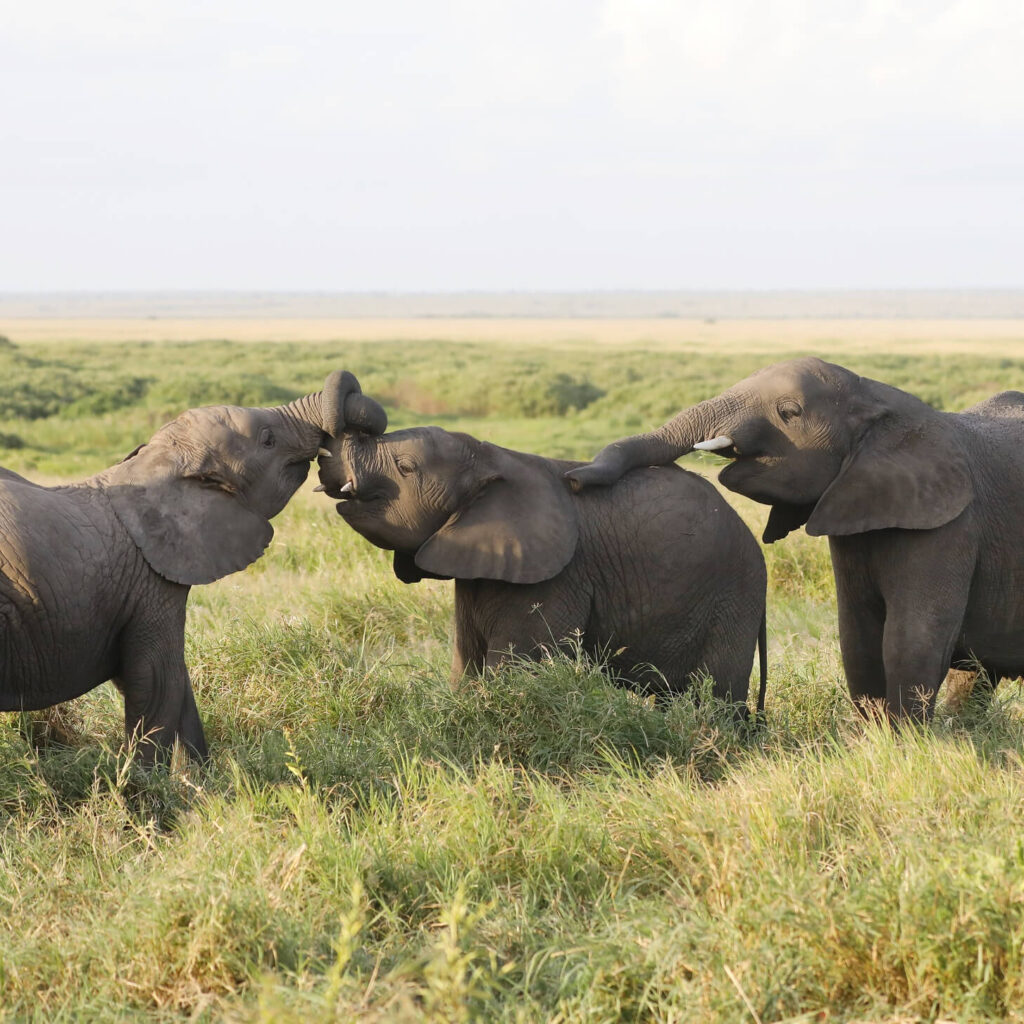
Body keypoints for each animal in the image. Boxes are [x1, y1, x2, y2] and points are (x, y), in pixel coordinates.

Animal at [0, 368, 387, 761]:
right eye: (268, 440)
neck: (155, 465)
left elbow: (175, 685)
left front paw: (200, 776)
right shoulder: (149, 583)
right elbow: (158, 679)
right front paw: (147, 779)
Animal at [319, 425, 770, 712]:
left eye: (406, 468)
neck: (492, 458)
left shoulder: (556, 578)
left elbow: (514, 669)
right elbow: (465, 667)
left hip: (733, 597)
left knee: (716, 695)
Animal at [565, 356, 1024, 724]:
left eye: (789, 412)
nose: (573, 480)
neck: (877, 397)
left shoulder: (951, 525)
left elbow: (912, 639)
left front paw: (906, 744)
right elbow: (858, 638)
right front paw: (876, 739)